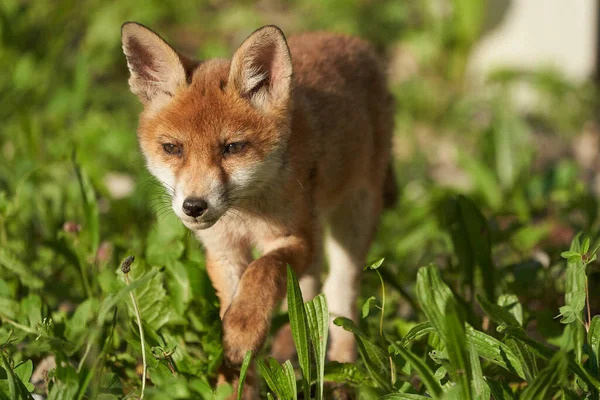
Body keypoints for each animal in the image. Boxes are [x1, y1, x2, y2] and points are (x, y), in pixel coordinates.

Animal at [120, 19, 396, 390]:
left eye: (232, 148)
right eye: (173, 149)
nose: (194, 206)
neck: (245, 214)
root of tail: (351, 40)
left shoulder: (295, 238)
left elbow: (262, 272)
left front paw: (243, 331)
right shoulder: (223, 253)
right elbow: (235, 301)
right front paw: (235, 383)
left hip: (354, 216)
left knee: (339, 294)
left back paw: (343, 372)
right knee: (311, 288)